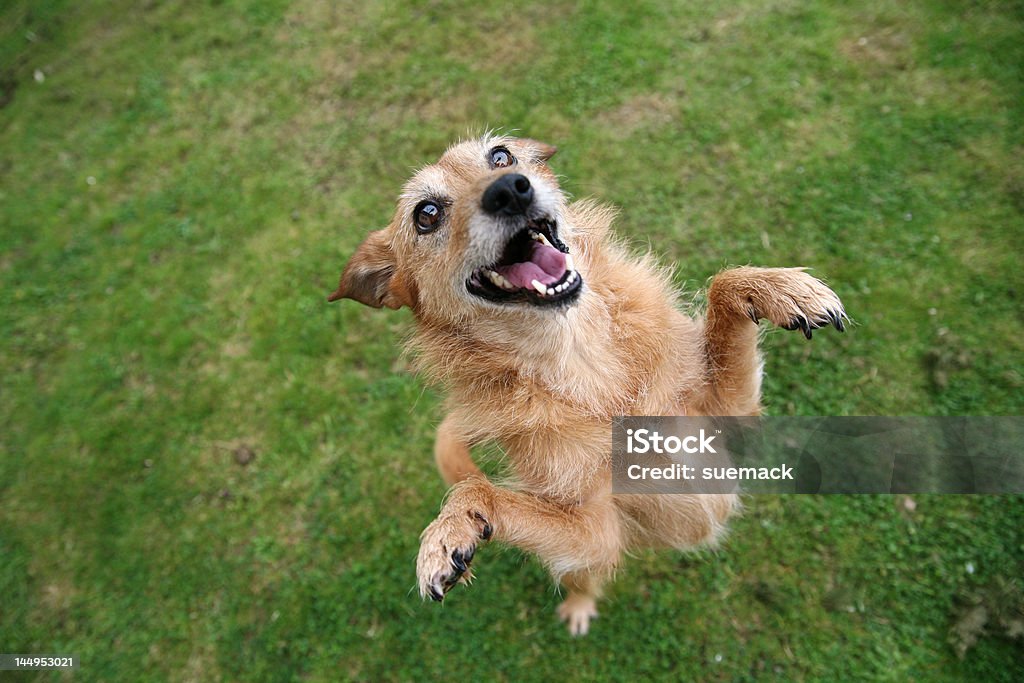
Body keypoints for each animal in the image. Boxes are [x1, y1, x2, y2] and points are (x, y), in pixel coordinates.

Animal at [329, 133, 847, 634]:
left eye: (501, 156)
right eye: (427, 214)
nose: (510, 189)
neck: (583, 360)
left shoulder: (729, 418)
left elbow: (723, 286)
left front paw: (781, 289)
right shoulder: (595, 533)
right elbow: (478, 491)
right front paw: (451, 528)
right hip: (586, 562)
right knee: (583, 579)